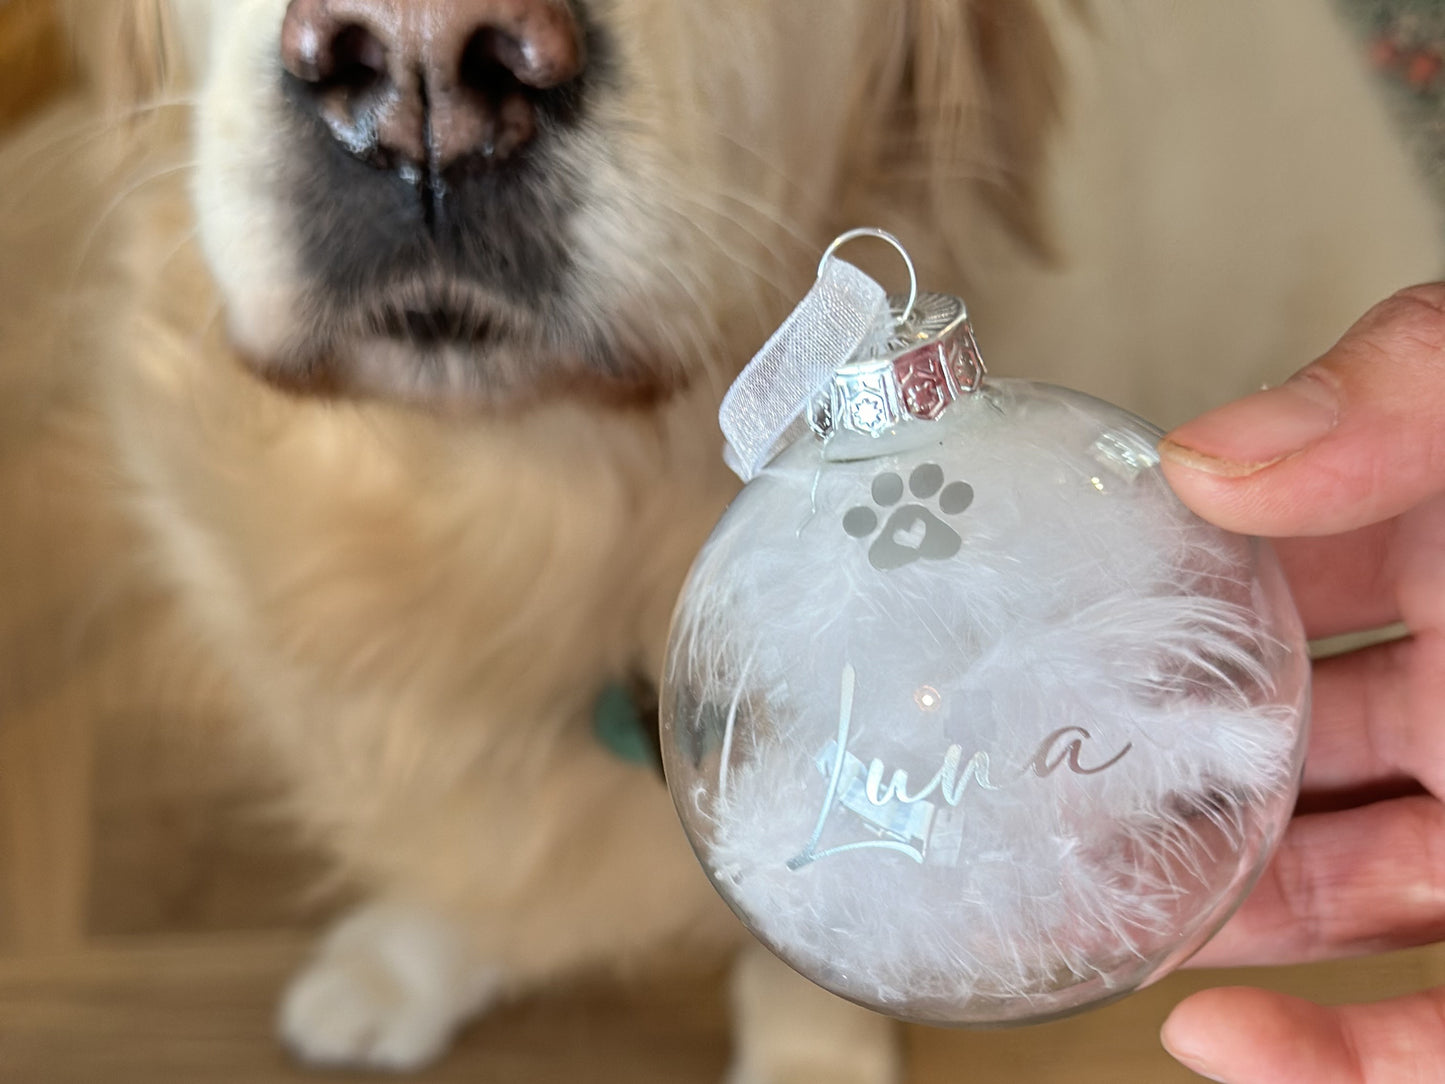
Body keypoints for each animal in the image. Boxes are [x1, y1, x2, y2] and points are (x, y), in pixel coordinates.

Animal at [5, 0, 1439, 1081]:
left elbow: (813, 953)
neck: (546, 517)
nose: (422, 69)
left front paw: (814, 1049)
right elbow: (467, 849)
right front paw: (413, 956)